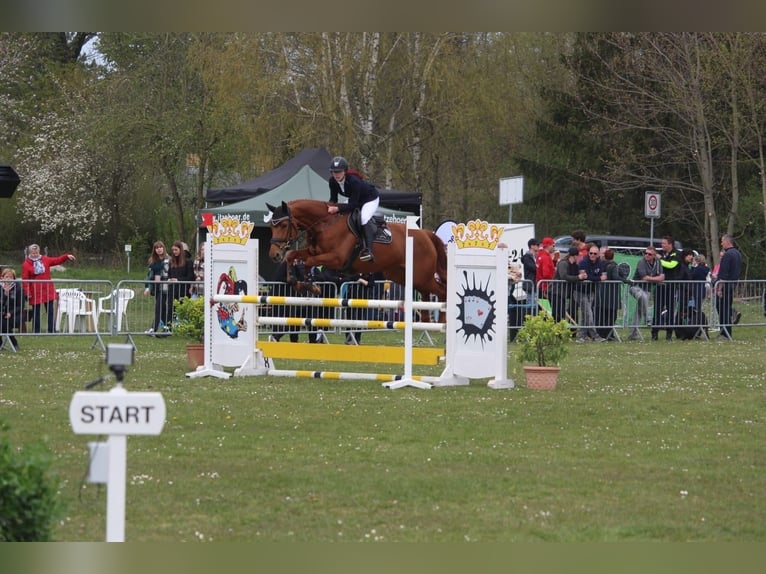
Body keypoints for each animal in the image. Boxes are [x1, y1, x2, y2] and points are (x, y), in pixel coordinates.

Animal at [268, 201, 450, 304]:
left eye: (283, 225)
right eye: (271, 225)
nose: (274, 255)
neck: (325, 225)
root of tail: (426, 234)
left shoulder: (336, 259)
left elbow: (309, 262)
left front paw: (311, 285)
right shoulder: (314, 252)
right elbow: (292, 256)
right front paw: (297, 282)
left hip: (422, 276)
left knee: (442, 291)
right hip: (402, 275)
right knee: (430, 293)